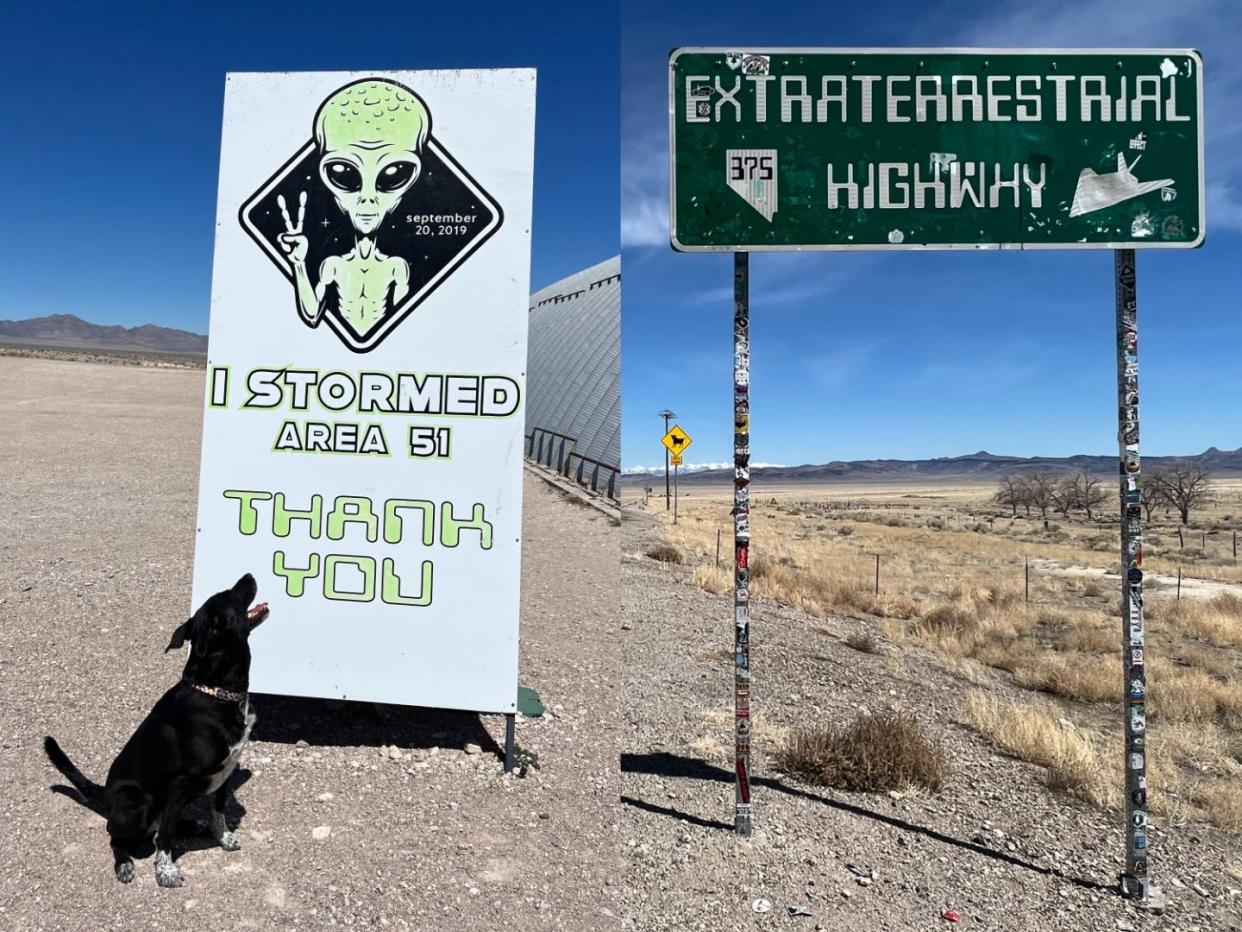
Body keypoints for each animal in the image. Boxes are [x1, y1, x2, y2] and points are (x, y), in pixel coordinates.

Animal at [45, 574, 267, 884]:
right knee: (116, 835)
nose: (248, 575)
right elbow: (165, 839)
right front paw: (166, 871)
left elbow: (218, 811)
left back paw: (194, 825)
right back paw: (124, 864)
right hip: (140, 801)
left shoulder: (226, 771)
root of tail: (106, 795)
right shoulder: (178, 784)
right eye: (231, 593)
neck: (217, 692)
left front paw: (223, 838)